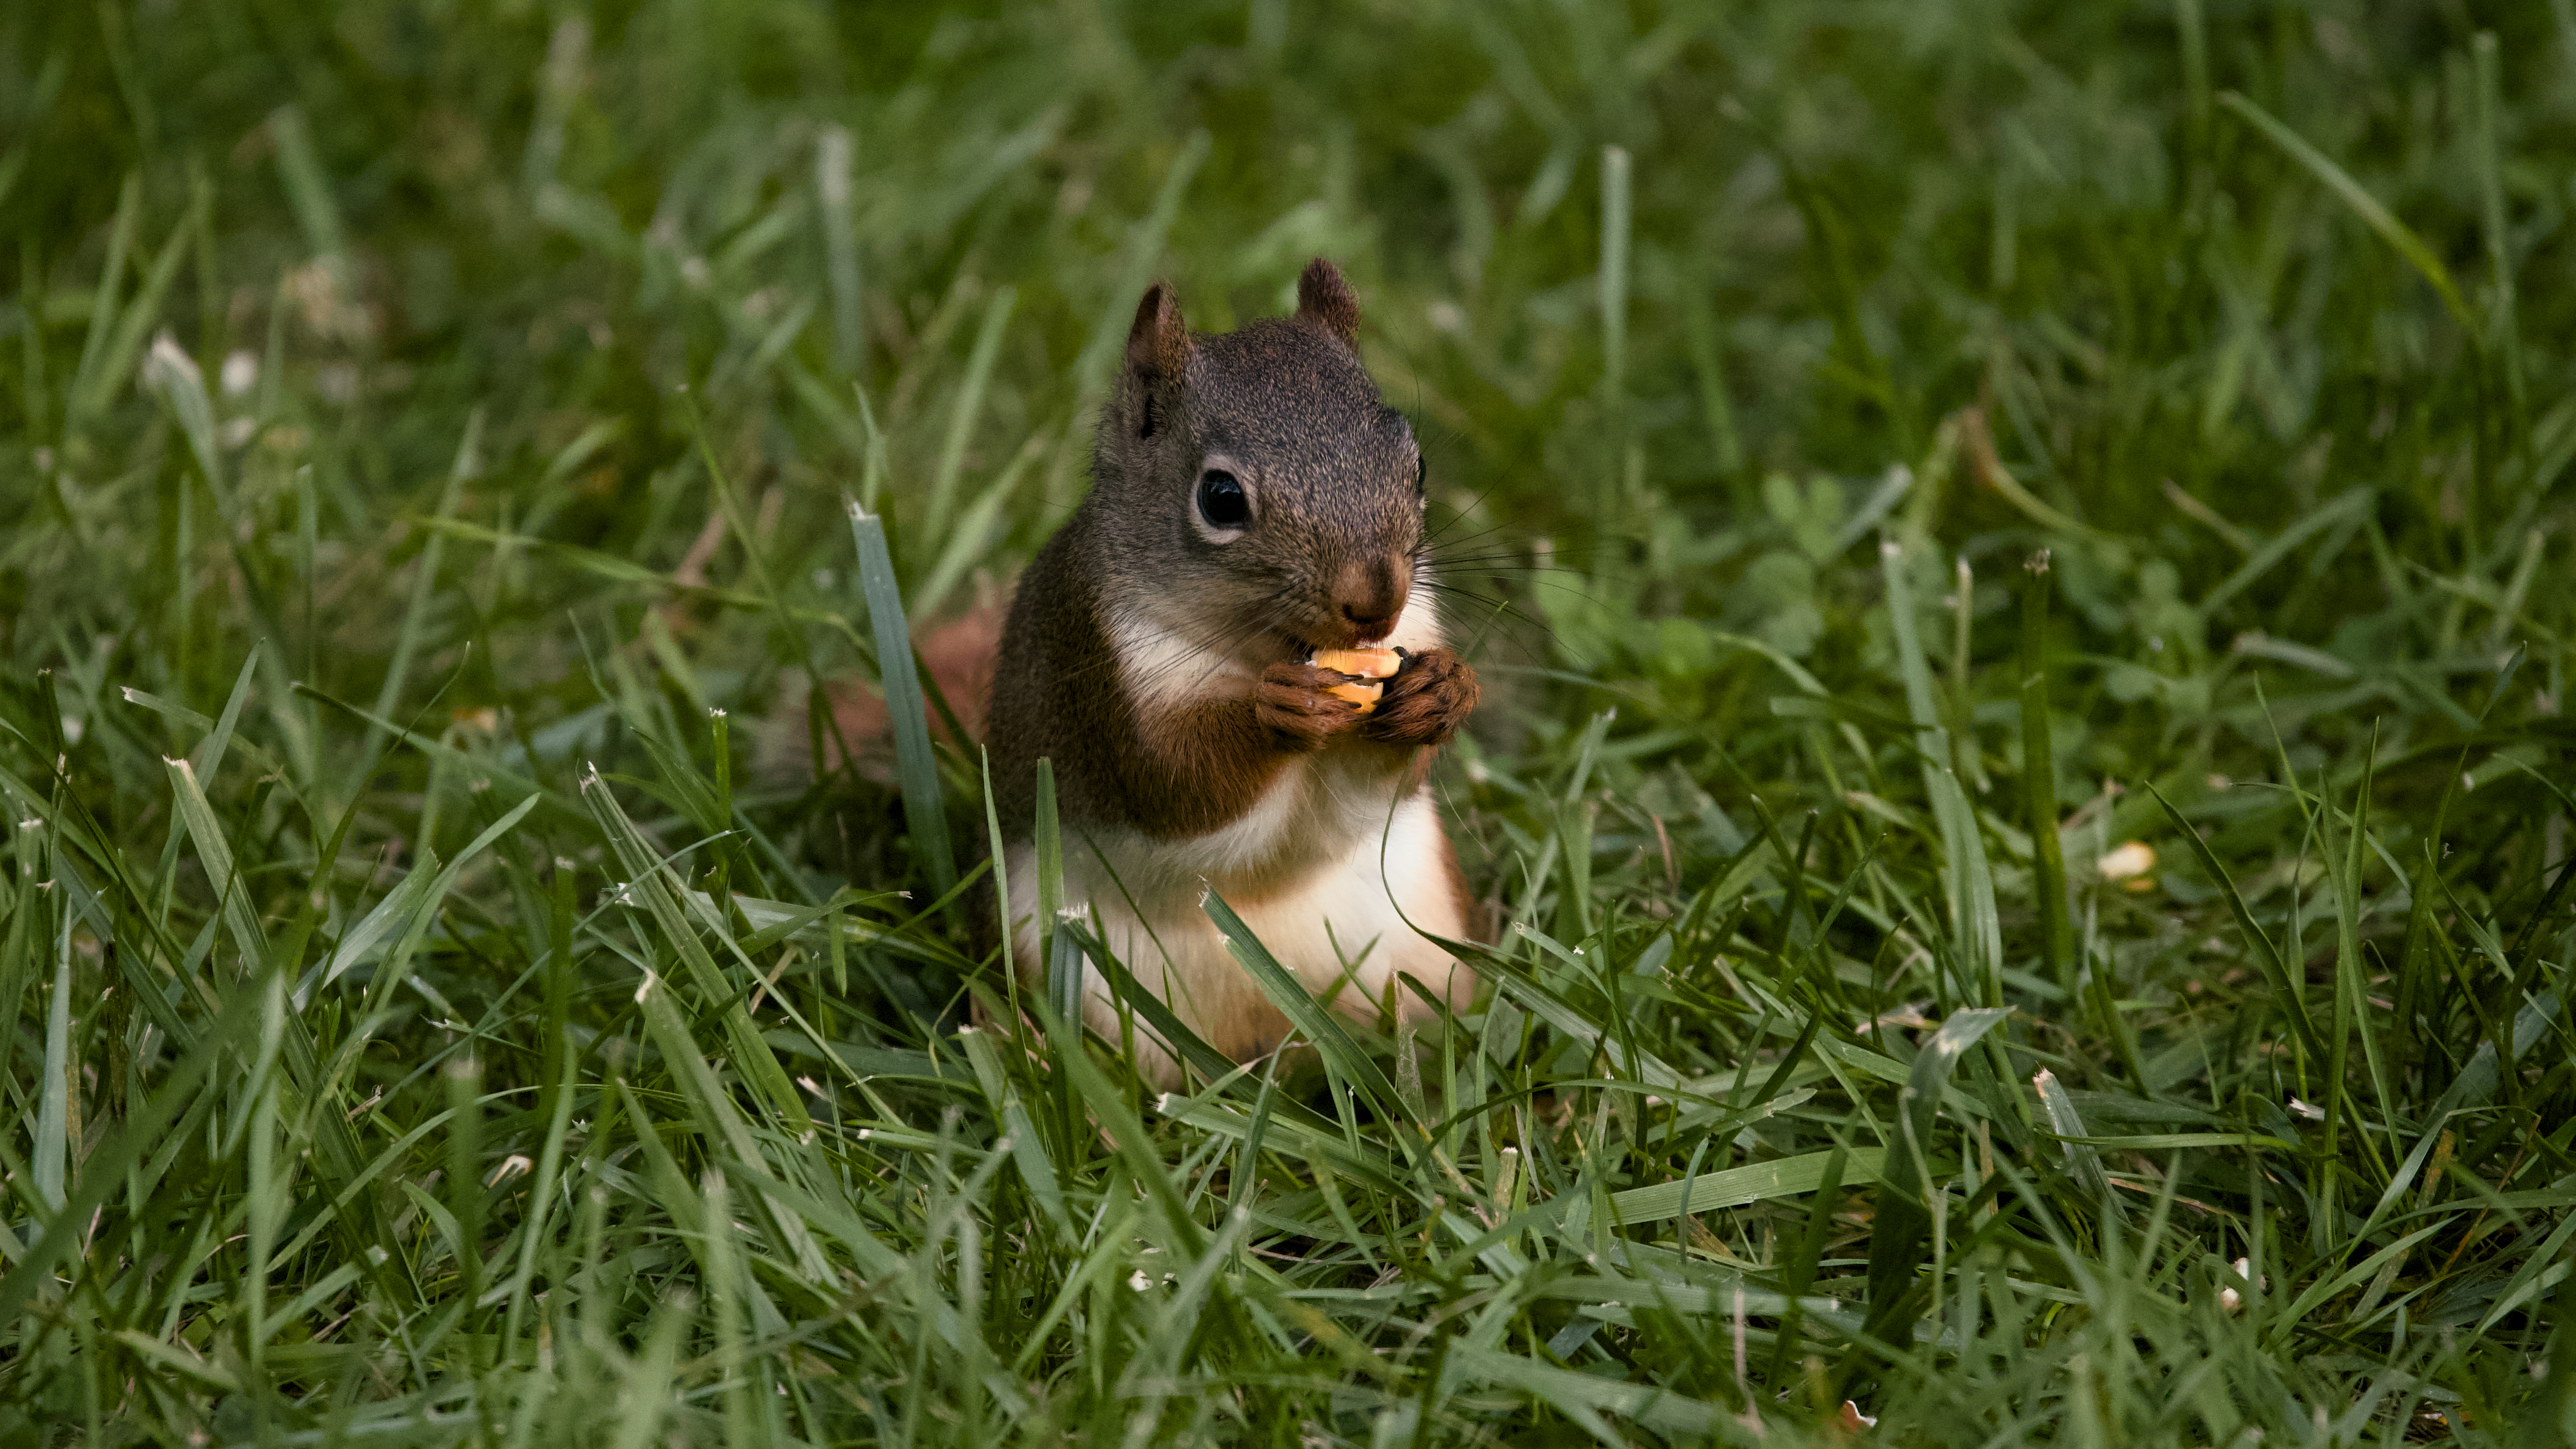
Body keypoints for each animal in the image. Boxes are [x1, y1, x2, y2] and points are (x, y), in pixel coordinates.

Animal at [985, 258, 1481, 1085]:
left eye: (1417, 465)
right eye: (1220, 499)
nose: (1375, 601)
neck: (1267, 650)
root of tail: (1265, 1040)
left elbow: (1385, 787)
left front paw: (1443, 692)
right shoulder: (1101, 669)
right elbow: (1172, 781)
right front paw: (1276, 712)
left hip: (1420, 938)